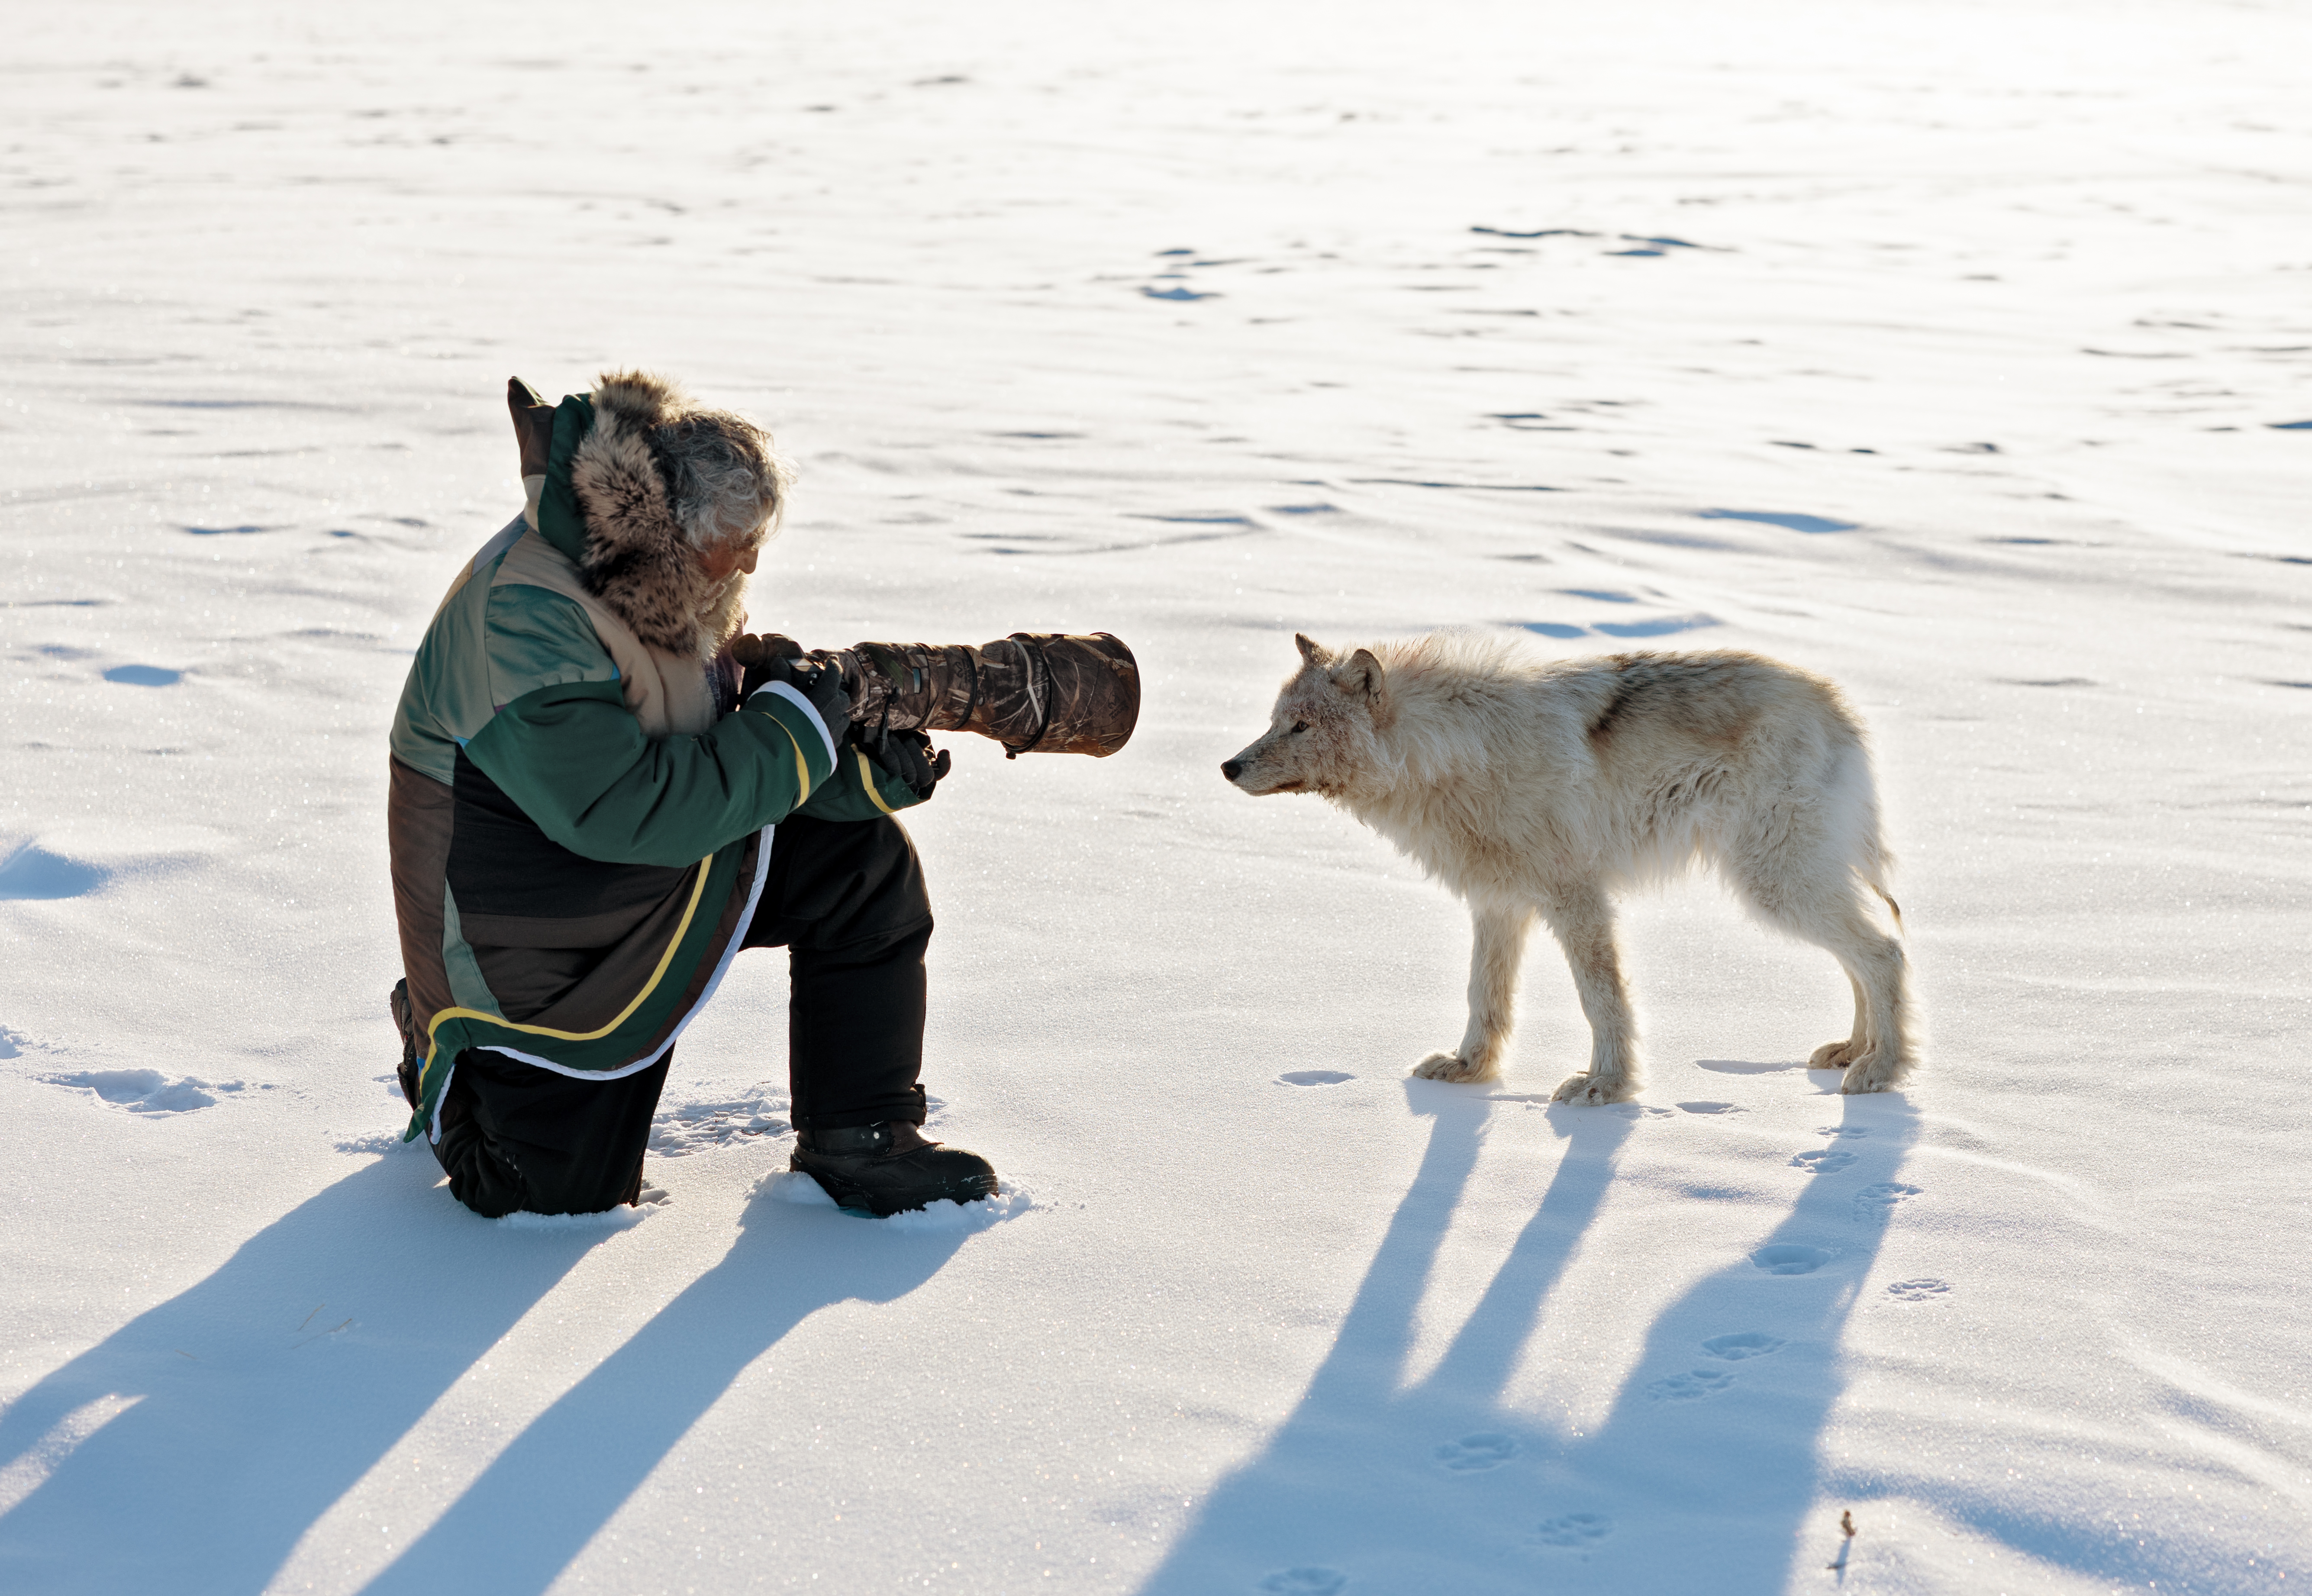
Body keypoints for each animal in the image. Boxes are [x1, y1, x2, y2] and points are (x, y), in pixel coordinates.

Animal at [1221, 632, 1915, 1101]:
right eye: (1275, 721)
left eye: (1301, 726)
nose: (1229, 766)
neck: (1451, 753)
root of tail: (1838, 705)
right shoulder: (1497, 902)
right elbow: (1483, 996)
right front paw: (1469, 1071)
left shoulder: (1575, 896)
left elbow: (1600, 997)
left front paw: (1605, 1086)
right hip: (1792, 883)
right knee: (1862, 956)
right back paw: (1855, 1050)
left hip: (1774, 884)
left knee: (1884, 951)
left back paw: (1882, 1069)